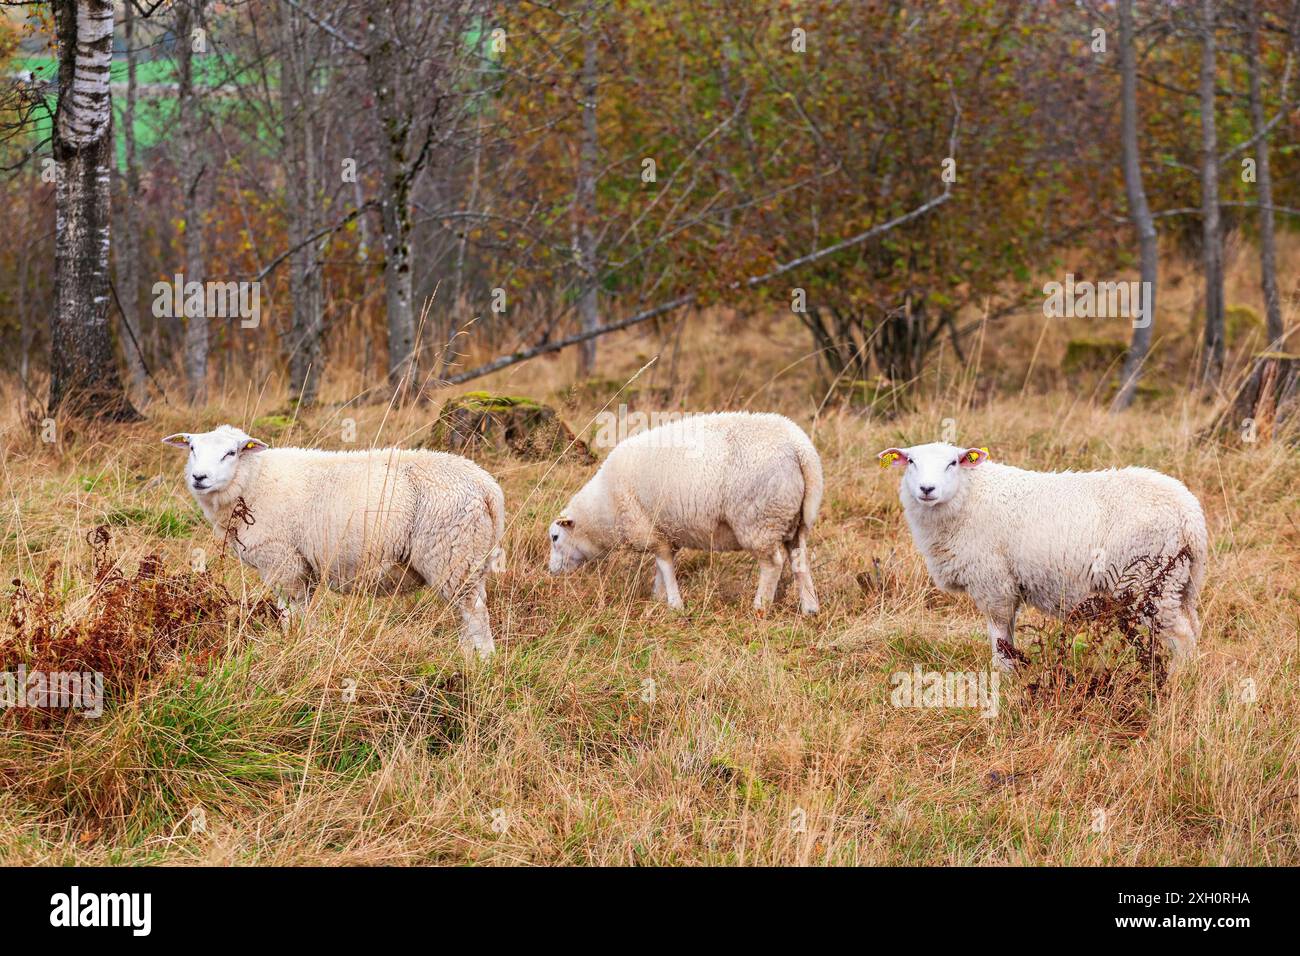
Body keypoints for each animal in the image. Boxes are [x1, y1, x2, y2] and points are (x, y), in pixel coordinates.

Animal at [163, 426, 506, 658]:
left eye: (231, 453)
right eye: (191, 448)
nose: (199, 477)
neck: (253, 479)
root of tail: (487, 487)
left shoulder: (284, 563)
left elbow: (290, 614)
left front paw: (292, 646)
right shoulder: (303, 567)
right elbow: (304, 614)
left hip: (453, 553)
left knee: (474, 614)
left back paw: (479, 662)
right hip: (472, 556)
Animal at [548, 411, 821, 613]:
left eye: (555, 537)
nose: (552, 572)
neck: (604, 508)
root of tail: (800, 448)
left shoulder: (648, 529)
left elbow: (665, 566)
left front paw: (674, 604)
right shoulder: (665, 532)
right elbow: (662, 567)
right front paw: (658, 597)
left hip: (759, 519)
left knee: (772, 564)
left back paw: (760, 607)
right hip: (793, 518)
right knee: (799, 558)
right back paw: (810, 608)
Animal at [878, 442, 1211, 671]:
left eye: (952, 463)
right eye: (911, 461)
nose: (927, 489)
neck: (968, 496)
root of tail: (1189, 514)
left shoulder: (993, 583)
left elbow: (999, 636)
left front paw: (1003, 678)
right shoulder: (1007, 585)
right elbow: (1008, 634)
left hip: (1149, 580)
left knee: (1182, 638)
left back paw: (1176, 682)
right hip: (1182, 583)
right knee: (1193, 627)